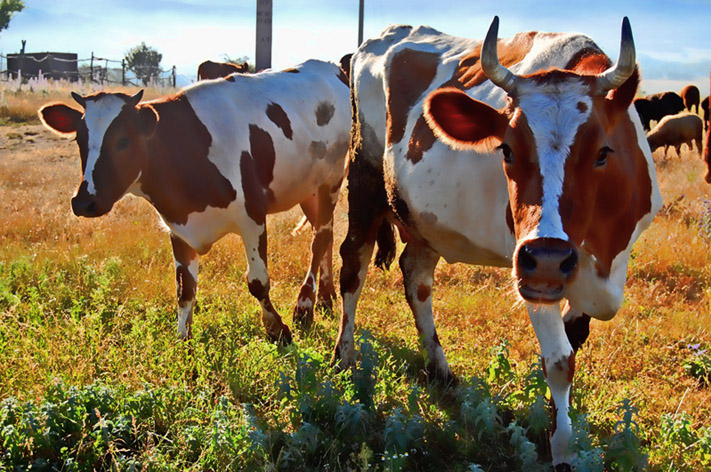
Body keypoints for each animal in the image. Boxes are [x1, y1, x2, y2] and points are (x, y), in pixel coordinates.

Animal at [39, 60, 350, 344]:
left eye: (123, 141)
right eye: (79, 140)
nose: (83, 201)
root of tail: (329, 66)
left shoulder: (252, 218)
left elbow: (258, 282)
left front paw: (277, 329)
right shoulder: (178, 226)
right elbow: (184, 289)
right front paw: (182, 341)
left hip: (331, 180)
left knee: (320, 238)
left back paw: (306, 305)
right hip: (308, 188)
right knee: (325, 232)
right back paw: (325, 296)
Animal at [336, 17, 664, 468]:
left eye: (603, 152)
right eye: (506, 149)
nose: (548, 258)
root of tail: (383, 35)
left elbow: (573, 340)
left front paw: (555, 422)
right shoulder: (530, 268)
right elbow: (559, 361)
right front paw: (562, 449)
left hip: (423, 216)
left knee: (416, 277)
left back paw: (440, 368)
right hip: (364, 174)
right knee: (354, 265)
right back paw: (345, 357)